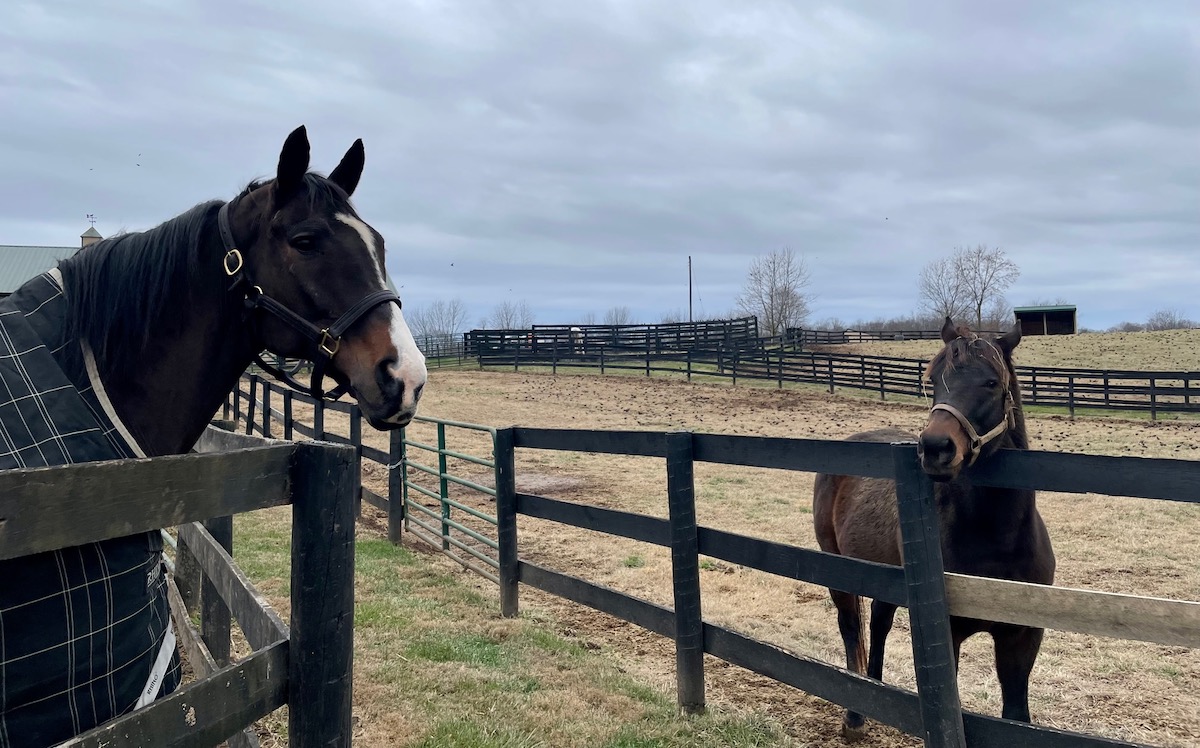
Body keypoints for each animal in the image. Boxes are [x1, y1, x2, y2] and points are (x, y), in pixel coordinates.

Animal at [811, 316, 1056, 744]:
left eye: (991, 382)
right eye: (934, 380)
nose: (936, 447)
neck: (996, 541)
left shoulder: (1022, 637)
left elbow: (1016, 714)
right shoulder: (949, 635)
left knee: (878, 625)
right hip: (838, 571)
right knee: (851, 630)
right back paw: (855, 716)